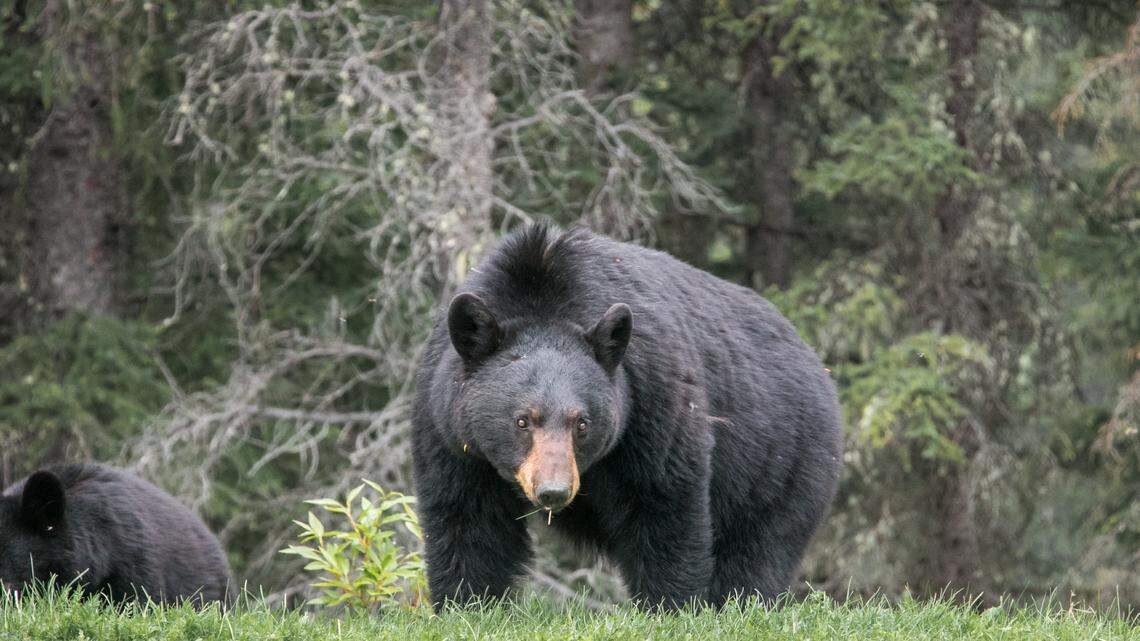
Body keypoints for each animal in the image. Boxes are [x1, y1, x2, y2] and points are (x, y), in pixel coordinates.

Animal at [412, 224, 843, 610]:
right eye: (522, 421)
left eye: (581, 423)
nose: (553, 491)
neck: (542, 289)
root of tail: (817, 364)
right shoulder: (448, 425)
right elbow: (468, 517)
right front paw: (468, 603)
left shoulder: (651, 396)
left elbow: (664, 502)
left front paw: (670, 606)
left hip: (783, 461)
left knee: (760, 549)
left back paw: (741, 603)